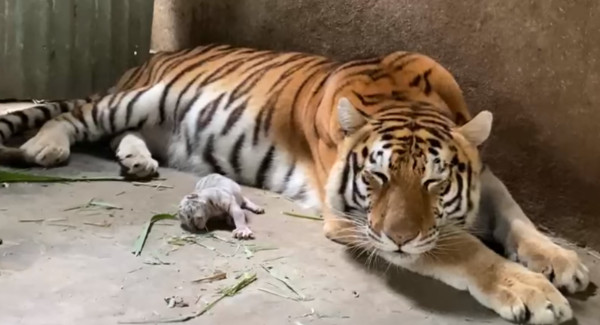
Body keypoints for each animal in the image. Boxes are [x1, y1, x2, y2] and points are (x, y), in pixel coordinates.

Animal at [0, 44, 592, 322]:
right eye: (375, 176)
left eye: (433, 183)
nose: (399, 238)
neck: (405, 99)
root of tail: (148, 60)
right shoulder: (353, 219)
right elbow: (463, 248)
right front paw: (534, 292)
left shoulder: (484, 178)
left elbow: (519, 220)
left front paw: (564, 264)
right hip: (136, 99)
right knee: (74, 116)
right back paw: (45, 147)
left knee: (118, 135)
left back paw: (137, 162)